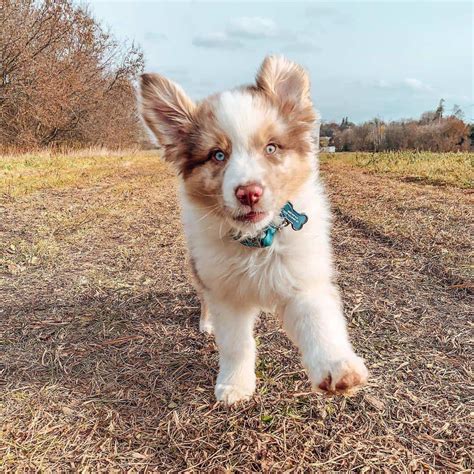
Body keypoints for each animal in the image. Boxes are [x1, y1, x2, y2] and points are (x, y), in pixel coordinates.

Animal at [139, 55, 368, 404]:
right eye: (218, 155)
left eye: (271, 148)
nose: (249, 193)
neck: (258, 241)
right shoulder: (225, 292)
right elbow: (236, 343)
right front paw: (234, 385)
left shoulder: (302, 277)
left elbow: (318, 321)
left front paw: (338, 368)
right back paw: (206, 323)